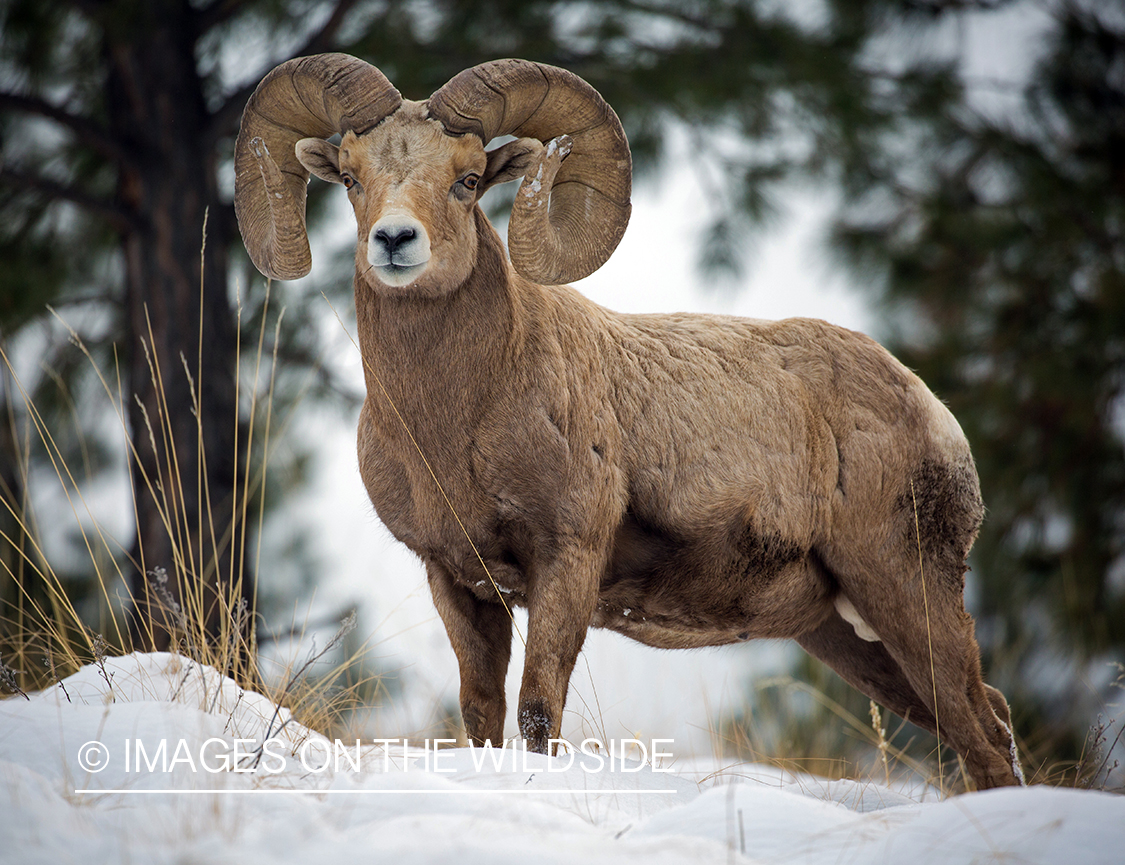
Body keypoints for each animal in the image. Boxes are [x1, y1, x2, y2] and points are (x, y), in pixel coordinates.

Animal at [234, 53, 1026, 789]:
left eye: (467, 179)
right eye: (351, 177)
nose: (395, 241)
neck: (458, 422)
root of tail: (928, 407)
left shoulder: (568, 559)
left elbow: (537, 711)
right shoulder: (455, 580)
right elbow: (482, 712)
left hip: (902, 584)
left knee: (980, 731)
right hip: (846, 632)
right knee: (983, 717)